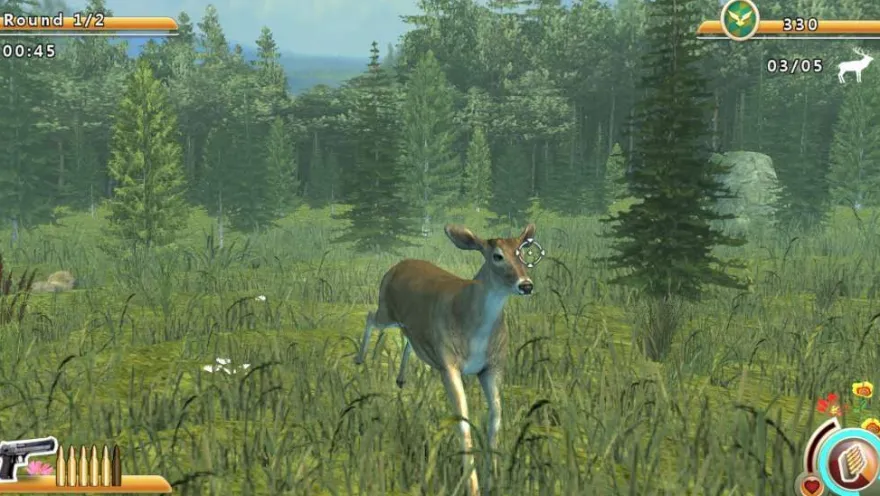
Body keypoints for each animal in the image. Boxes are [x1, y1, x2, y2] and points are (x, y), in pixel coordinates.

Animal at [354, 223, 536, 496]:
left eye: (523, 253)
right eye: (497, 256)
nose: (526, 285)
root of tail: (396, 265)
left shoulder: (493, 367)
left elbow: (495, 417)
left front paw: (493, 480)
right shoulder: (449, 364)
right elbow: (463, 419)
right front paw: (472, 486)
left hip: (406, 323)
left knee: (408, 339)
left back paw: (400, 379)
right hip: (386, 308)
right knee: (369, 317)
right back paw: (359, 359)